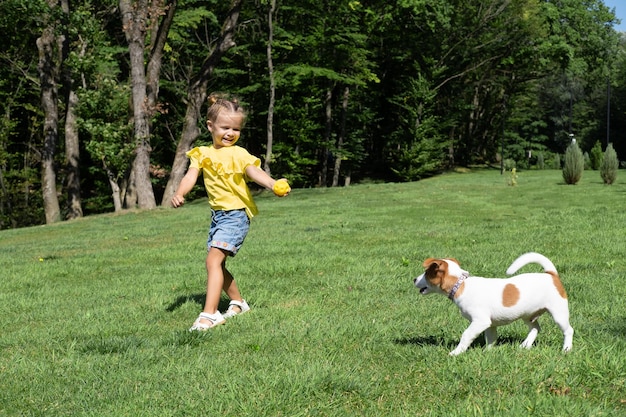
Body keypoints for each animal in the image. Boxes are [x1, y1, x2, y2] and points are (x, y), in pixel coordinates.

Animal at [412, 250, 572, 354]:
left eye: (426, 273)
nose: (414, 279)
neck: (461, 284)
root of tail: (551, 275)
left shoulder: (480, 321)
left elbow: (466, 335)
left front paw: (456, 352)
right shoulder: (490, 324)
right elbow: (491, 338)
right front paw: (488, 352)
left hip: (558, 313)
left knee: (568, 330)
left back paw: (566, 349)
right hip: (528, 315)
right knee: (535, 328)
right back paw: (525, 346)